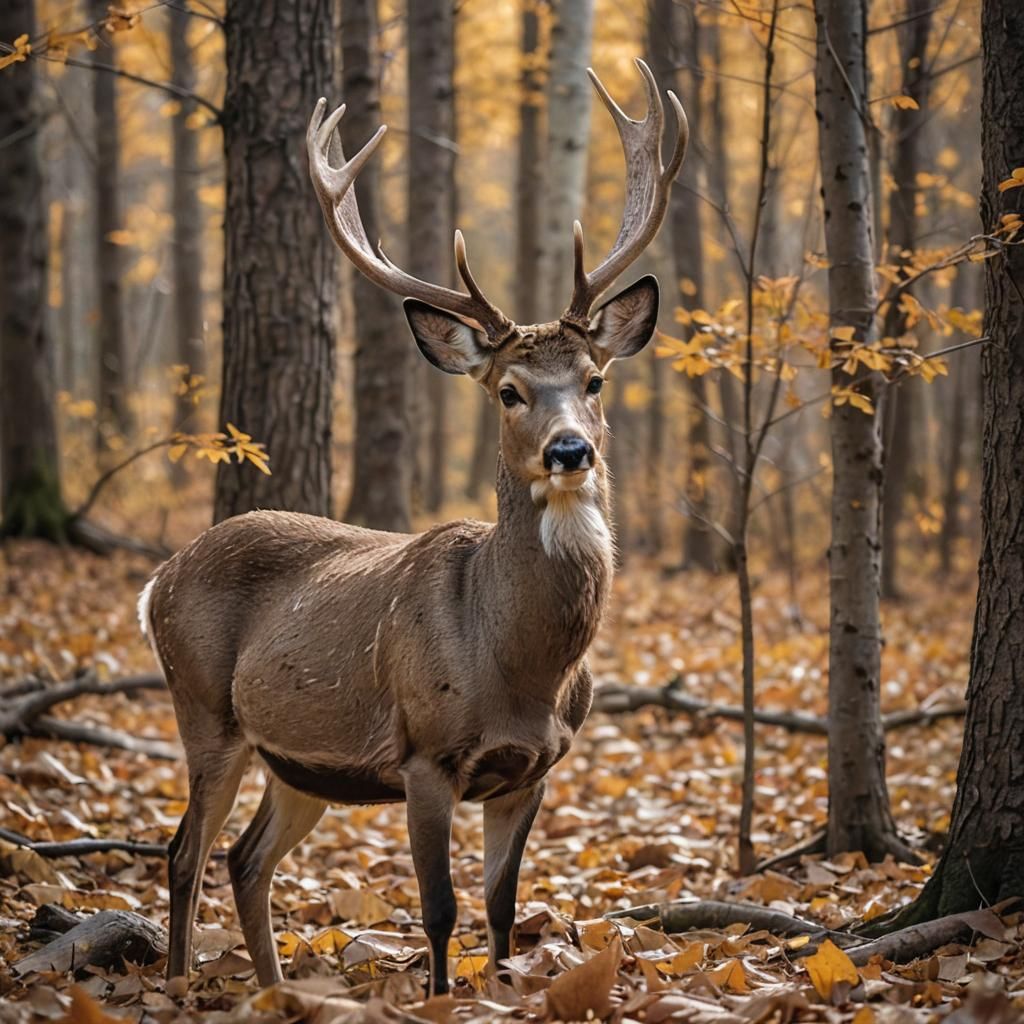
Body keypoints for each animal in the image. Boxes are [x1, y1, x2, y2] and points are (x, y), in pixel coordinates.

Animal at [139, 59, 686, 997]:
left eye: (595, 379)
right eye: (508, 391)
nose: (570, 449)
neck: (518, 663)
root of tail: (156, 581)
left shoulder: (533, 770)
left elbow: (503, 910)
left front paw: (503, 993)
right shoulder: (426, 755)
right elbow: (440, 911)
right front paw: (439, 1000)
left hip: (299, 764)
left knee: (245, 860)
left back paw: (277, 991)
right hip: (204, 704)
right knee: (184, 854)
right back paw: (179, 984)